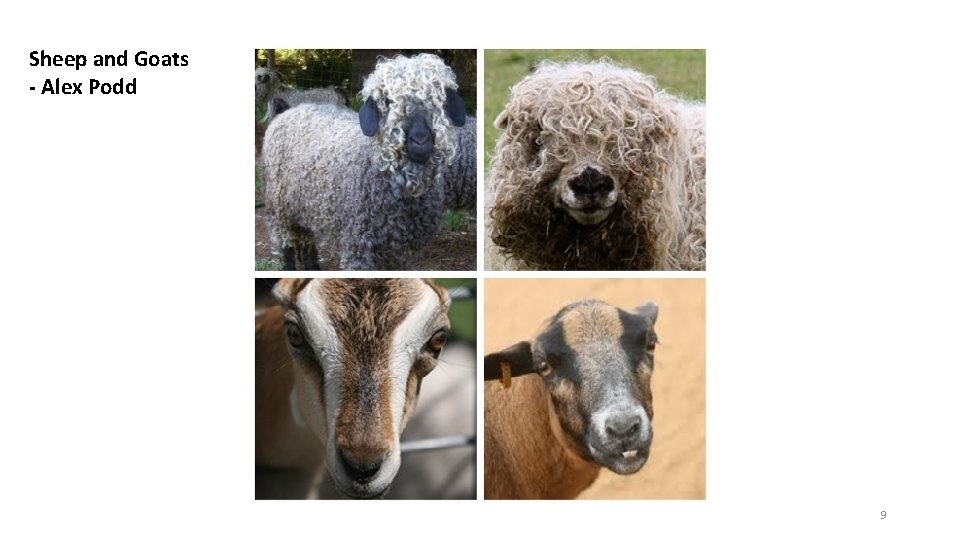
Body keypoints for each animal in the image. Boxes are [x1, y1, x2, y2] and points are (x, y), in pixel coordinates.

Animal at [262, 53, 467, 270]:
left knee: (307, 239)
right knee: (286, 242)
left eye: (440, 98)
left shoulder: (401, 251)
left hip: (305, 205)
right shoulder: (358, 243)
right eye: (387, 100)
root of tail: (286, 111)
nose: (420, 140)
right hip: (279, 205)